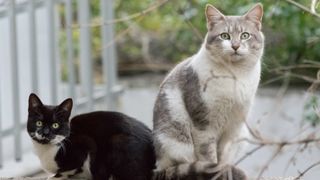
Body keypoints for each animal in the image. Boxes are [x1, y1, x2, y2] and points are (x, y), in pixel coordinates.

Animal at [27, 93, 155, 179]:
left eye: (55, 125)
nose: (45, 133)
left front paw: (56, 176)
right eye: (39, 123)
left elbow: (69, 169)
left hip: (118, 141)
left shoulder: (86, 143)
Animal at [154, 3, 264, 180]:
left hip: (243, 136)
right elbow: (209, 158)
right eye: (225, 36)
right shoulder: (203, 125)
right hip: (178, 144)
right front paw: (216, 171)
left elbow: (224, 158)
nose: (235, 46)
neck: (234, 75)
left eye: (245, 35)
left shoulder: (234, 127)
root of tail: (159, 169)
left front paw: (225, 172)